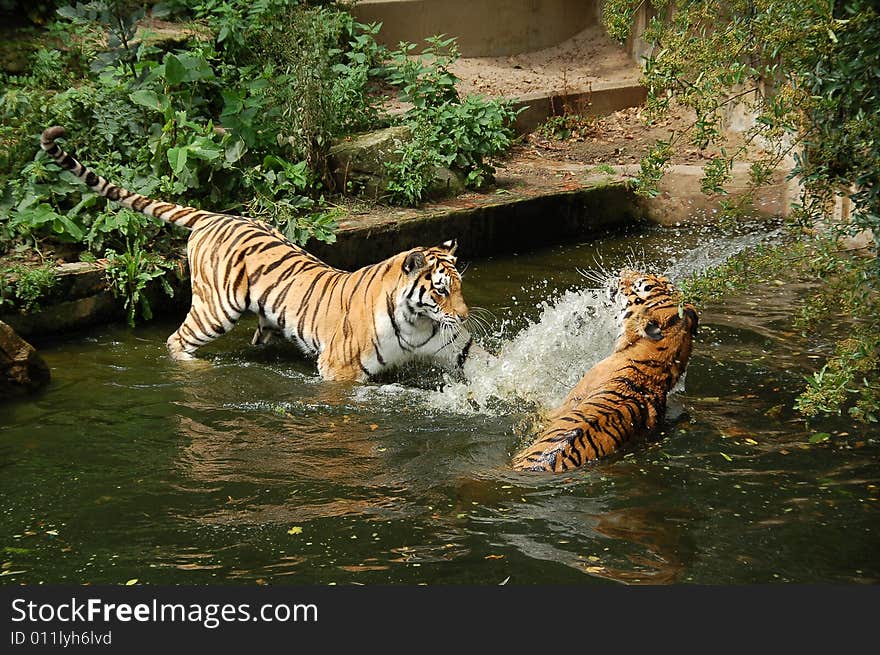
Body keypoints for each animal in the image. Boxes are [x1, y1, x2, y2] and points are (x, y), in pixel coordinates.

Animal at [39, 125, 488, 382]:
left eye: (459, 286)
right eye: (441, 290)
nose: (466, 315)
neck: (417, 322)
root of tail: (214, 214)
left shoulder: (451, 346)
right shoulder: (340, 371)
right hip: (215, 309)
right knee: (176, 339)